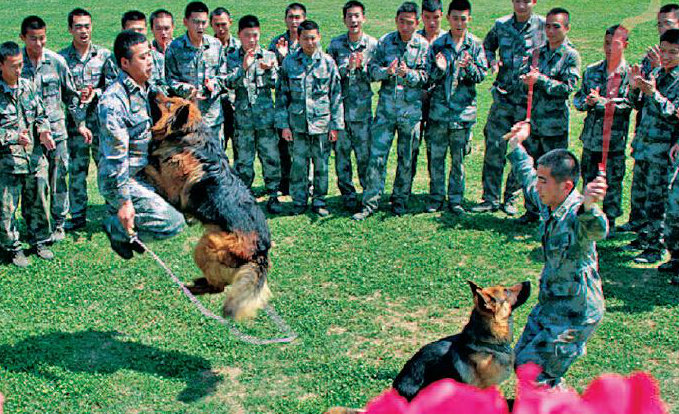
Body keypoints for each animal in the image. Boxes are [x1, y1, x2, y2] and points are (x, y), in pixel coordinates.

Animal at [145, 94, 272, 320]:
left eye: (168, 103)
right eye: (169, 97)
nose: (153, 89)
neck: (187, 138)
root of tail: (261, 252)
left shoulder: (171, 190)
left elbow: (149, 168)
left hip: (205, 246)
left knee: (218, 287)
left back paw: (193, 288)